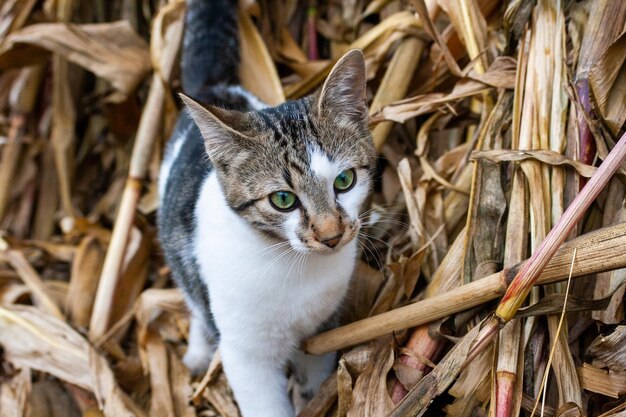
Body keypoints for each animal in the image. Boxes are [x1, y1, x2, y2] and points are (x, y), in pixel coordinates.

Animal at [158, 0, 372, 412]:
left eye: (344, 181)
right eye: (283, 200)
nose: (331, 235)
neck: (293, 267)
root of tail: (217, 87)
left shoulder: (321, 331)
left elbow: (313, 378)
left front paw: (311, 401)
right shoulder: (246, 355)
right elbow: (265, 403)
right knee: (194, 298)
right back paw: (198, 352)